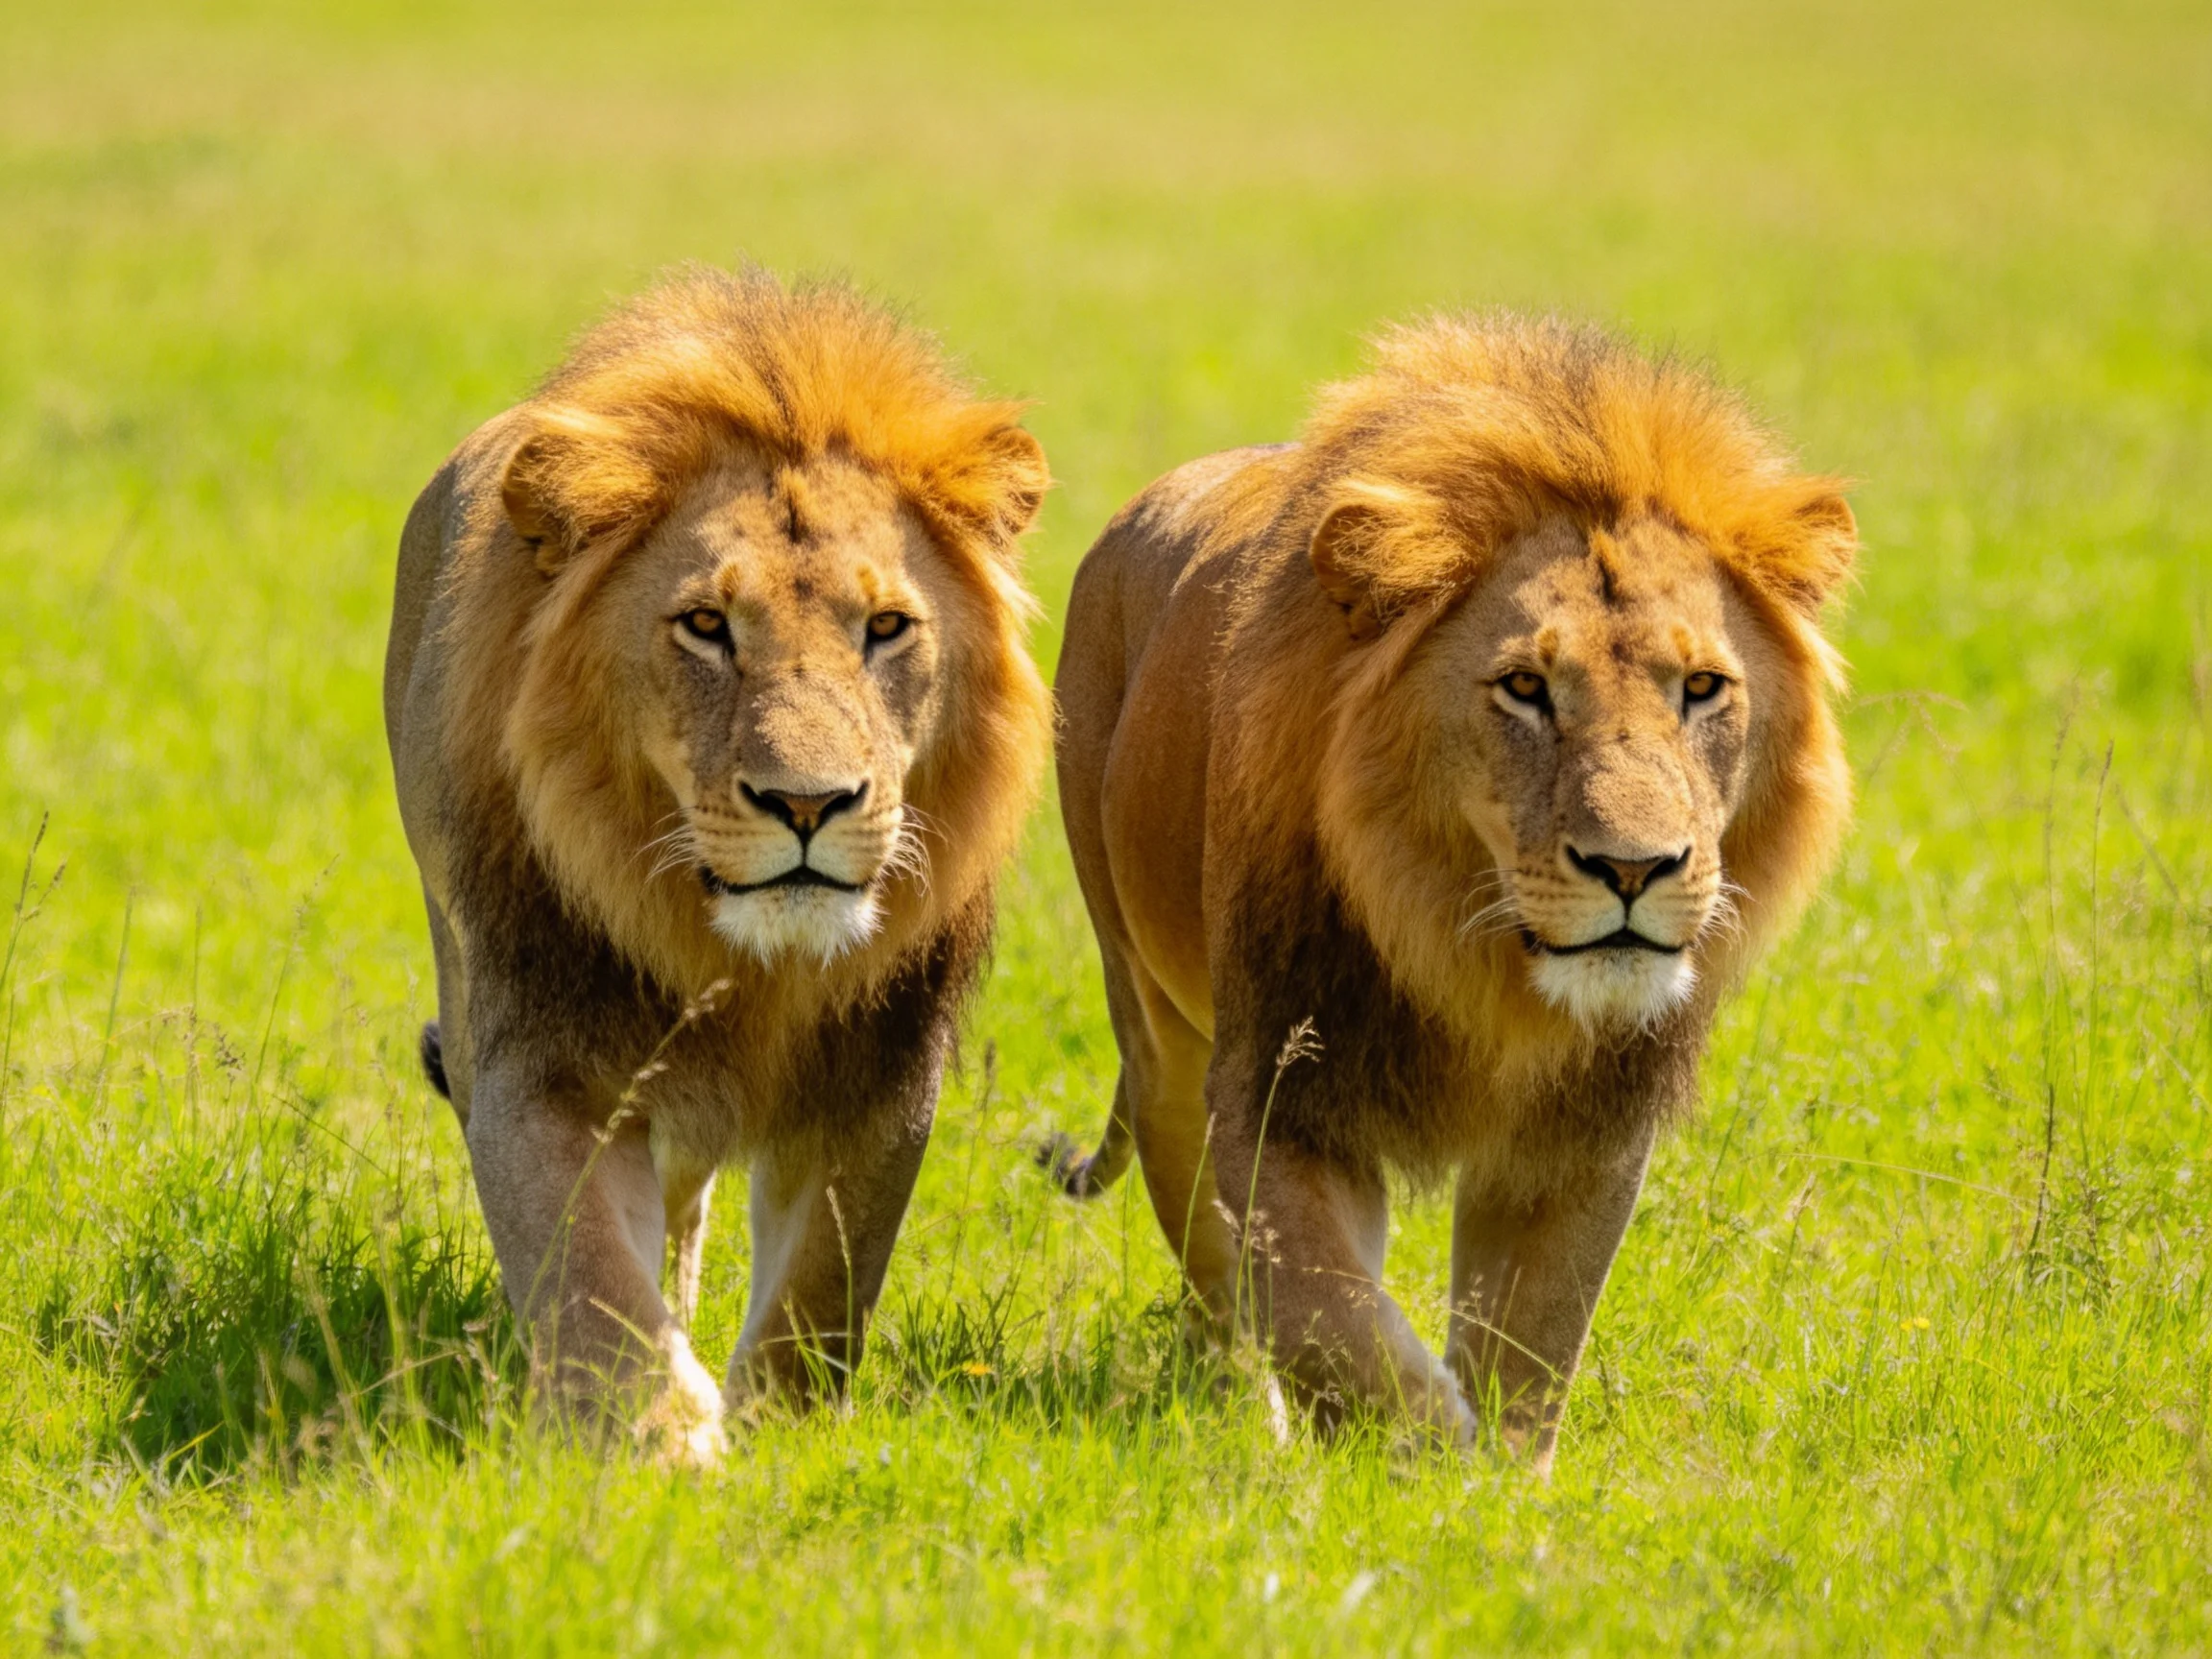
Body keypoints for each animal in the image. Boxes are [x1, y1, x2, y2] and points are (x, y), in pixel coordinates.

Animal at [384, 267, 1053, 1463]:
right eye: (705, 624)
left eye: (887, 626)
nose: (808, 803)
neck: (742, 962)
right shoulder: (533, 1059)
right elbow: (589, 1275)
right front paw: (659, 1439)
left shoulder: (881, 1081)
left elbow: (824, 1285)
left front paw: (782, 1429)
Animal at [1050, 313, 1854, 1469]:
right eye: (1525, 687)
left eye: (1702, 688)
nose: (1634, 869)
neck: (1481, 960)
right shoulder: (1282, 1090)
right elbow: (1331, 1320)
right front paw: (1426, 1456)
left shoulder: (1583, 1135)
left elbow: (1533, 1337)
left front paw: (1503, 1481)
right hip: (1155, 1032)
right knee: (1217, 1282)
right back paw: (1258, 1423)